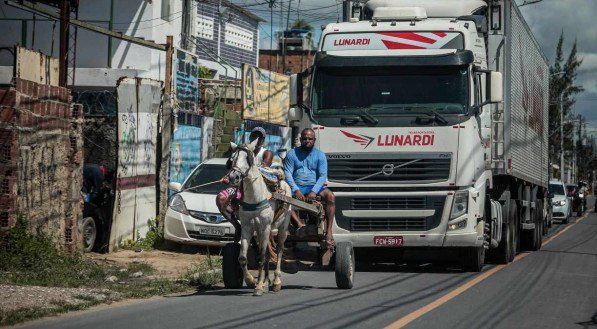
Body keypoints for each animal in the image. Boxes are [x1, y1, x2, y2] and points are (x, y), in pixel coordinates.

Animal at [228, 138, 292, 294]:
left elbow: (262, 257)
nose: (234, 177)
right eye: (232, 158)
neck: (254, 197)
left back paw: (276, 281)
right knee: (268, 252)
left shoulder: (265, 227)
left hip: (282, 227)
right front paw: (252, 281)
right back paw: (265, 282)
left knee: (279, 250)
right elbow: (243, 258)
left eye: (248, 158)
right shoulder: (247, 228)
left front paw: (258, 288)